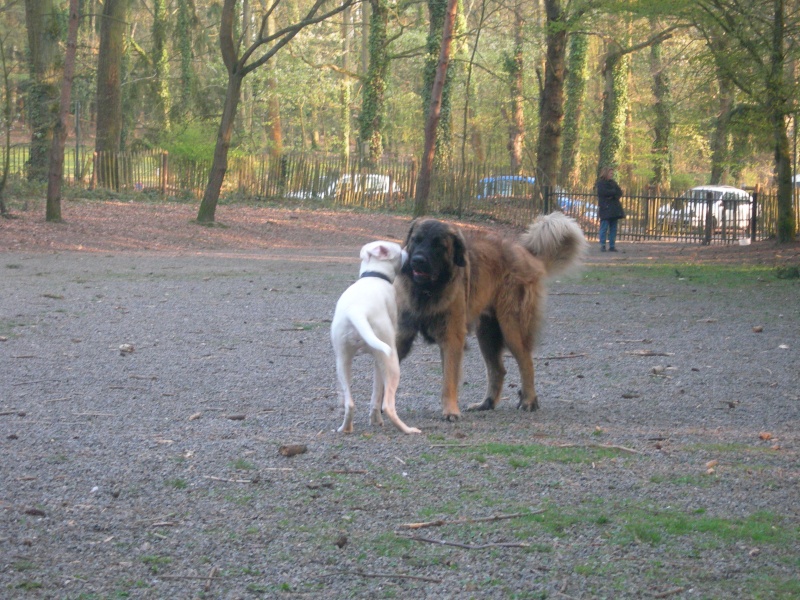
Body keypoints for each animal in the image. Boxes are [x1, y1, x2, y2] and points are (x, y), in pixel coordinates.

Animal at [330, 241, 422, 434]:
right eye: (399, 251)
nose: (408, 250)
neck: (374, 275)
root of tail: (357, 311)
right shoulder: (381, 361)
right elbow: (377, 395)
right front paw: (376, 420)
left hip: (342, 361)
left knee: (349, 403)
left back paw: (345, 428)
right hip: (392, 363)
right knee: (388, 406)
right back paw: (408, 429)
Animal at [396, 213, 588, 420]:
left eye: (439, 245)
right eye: (416, 240)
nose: (418, 260)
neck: (426, 291)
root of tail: (527, 254)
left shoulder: (452, 338)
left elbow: (449, 380)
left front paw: (450, 411)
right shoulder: (401, 335)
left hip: (512, 328)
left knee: (526, 363)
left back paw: (529, 400)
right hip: (487, 334)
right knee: (498, 370)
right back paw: (486, 403)